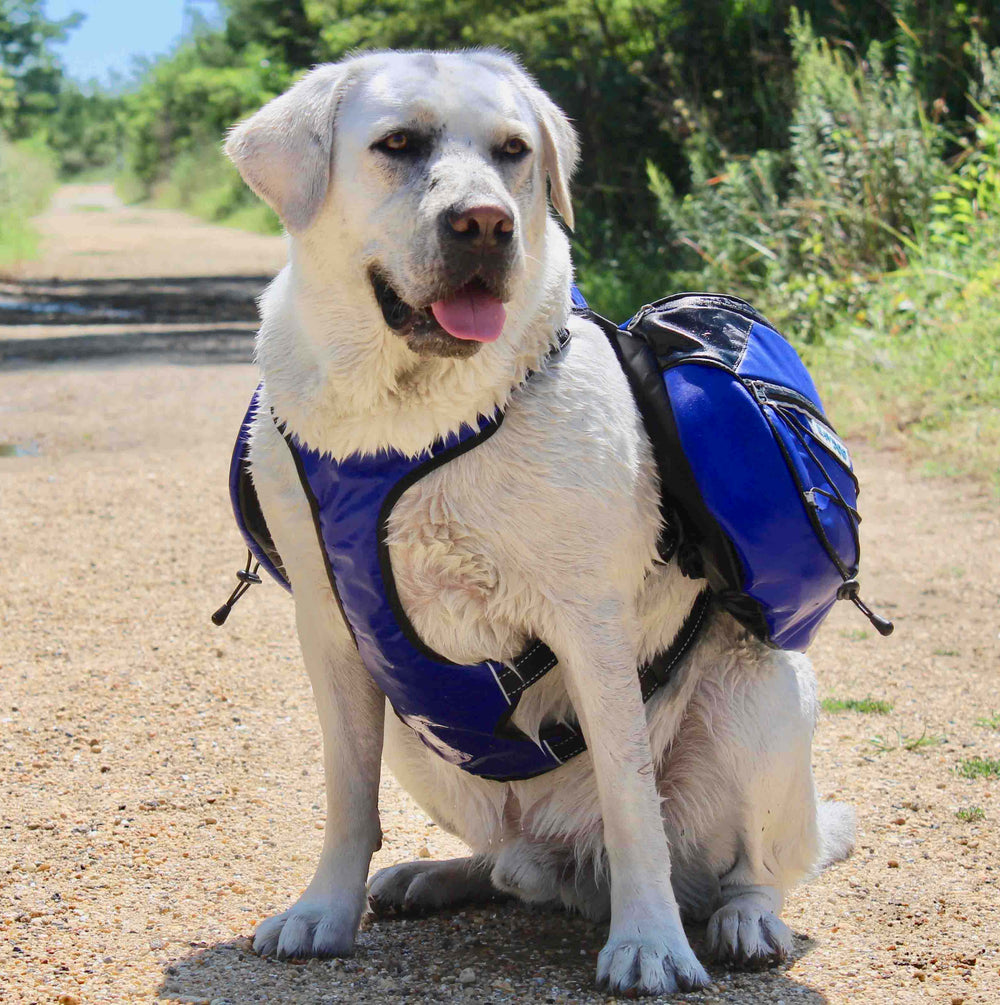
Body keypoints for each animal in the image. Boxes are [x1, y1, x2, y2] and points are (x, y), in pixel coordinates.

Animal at [225, 51, 852, 992]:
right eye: (397, 144)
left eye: (513, 151)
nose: (485, 223)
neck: (409, 418)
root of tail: (570, 861)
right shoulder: (332, 632)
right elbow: (347, 790)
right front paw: (323, 909)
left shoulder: (591, 621)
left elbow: (633, 799)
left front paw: (649, 943)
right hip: (423, 742)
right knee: (513, 862)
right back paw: (437, 874)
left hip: (763, 694)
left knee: (756, 864)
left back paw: (744, 920)